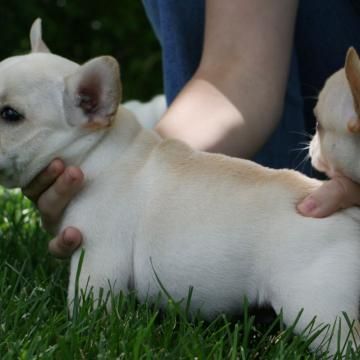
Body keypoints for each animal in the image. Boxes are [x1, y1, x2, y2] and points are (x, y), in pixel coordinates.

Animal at [0, 19, 360, 354]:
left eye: (11, 114)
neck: (97, 150)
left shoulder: (98, 255)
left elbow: (88, 301)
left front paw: (82, 335)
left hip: (317, 306)